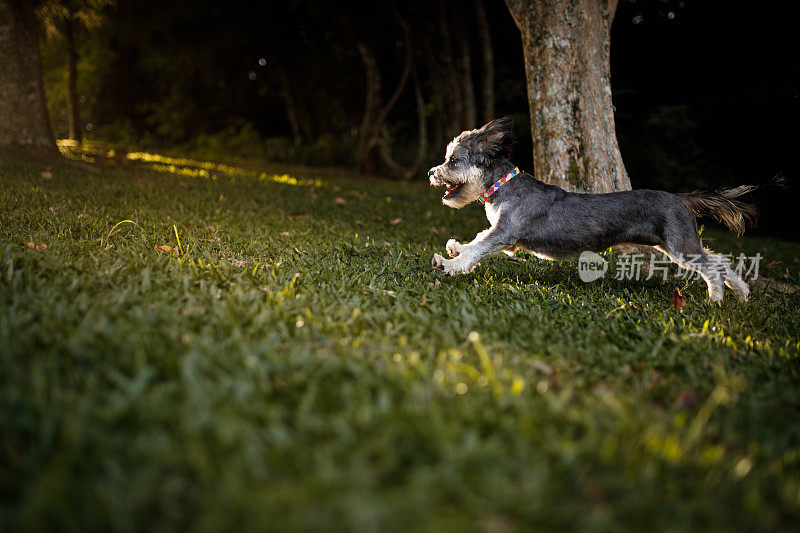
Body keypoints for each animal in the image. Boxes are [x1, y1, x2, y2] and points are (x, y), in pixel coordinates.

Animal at [428, 115, 760, 304]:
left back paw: (716, 299)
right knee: (721, 261)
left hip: (680, 245)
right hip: (675, 243)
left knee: (713, 266)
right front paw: (456, 247)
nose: (432, 172)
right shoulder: (504, 238)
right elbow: (475, 241)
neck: (503, 187)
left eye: (453, 161)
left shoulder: (505, 234)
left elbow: (477, 249)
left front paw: (448, 264)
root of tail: (681, 198)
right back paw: (742, 294)